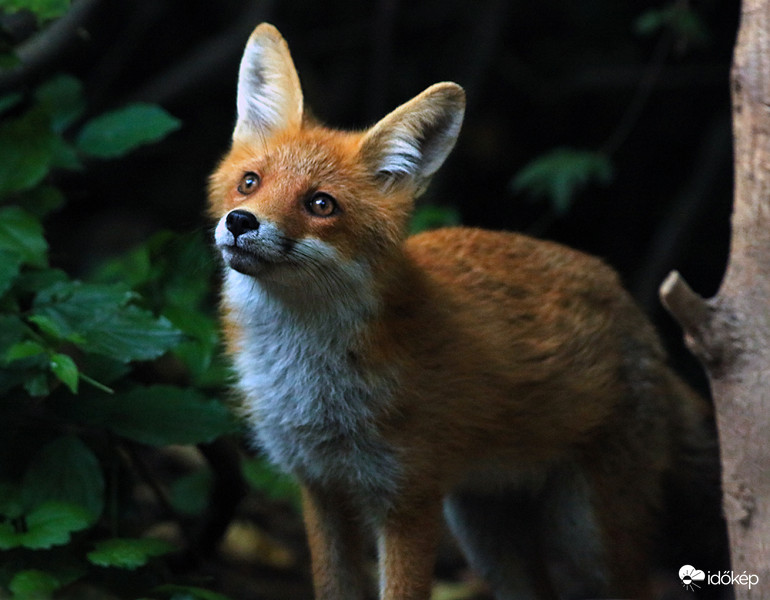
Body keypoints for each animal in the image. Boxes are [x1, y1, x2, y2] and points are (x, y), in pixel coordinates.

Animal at [208, 22, 720, 600]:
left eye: (321, 204)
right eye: (250, 182)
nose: (240, 221)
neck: (309, 383)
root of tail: (627, 299)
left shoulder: (408, 499)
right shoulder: (320, 490)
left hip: (587, 536)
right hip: (487, 534)